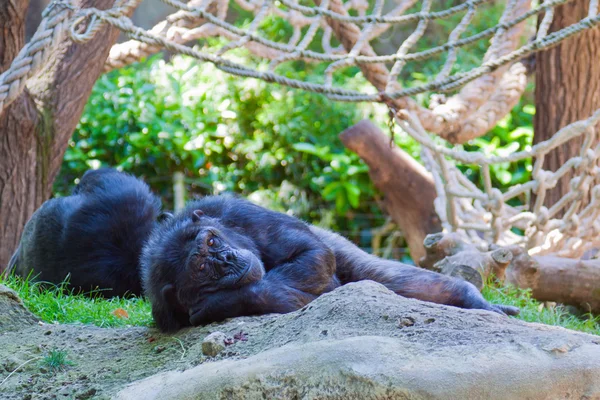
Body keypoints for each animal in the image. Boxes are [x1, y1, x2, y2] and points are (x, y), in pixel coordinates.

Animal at [139, 195, 516, 332]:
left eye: (212, 241)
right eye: (202, 269)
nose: (227, 258)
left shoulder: (239, 212)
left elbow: (311, 254)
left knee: (381, 274)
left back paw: (472, 298)